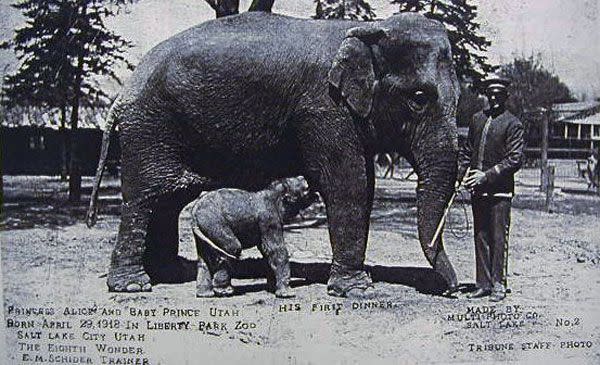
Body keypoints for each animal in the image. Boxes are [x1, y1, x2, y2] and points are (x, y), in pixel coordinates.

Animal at [86, 11, 460, 296]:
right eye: (419, 97)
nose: (452, 290)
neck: (365, 29)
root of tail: (122, 93)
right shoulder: (324, 109)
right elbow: (348, 184)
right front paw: (356, 290)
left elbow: (362, 185)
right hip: (149, 130)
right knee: (143, 199)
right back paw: (133, 286)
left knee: (168, 200)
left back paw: (170, 273)